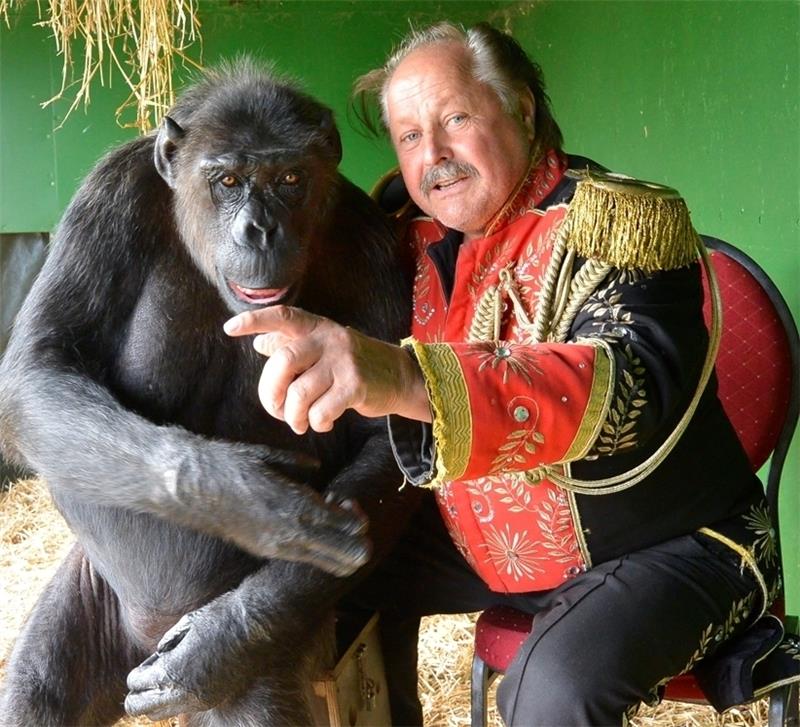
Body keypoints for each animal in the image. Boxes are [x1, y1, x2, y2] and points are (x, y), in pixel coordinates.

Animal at [0, 59, 419, 725]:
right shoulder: (108, 195)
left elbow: (387, 440)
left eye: (290, 179)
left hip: (270, 664)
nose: (259, 228)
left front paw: (220, 640)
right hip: (92, 597)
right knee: (38, 683)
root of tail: (141, 643)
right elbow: (40, 365)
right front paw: (248, 497)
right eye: (227, 180)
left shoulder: (371, 244)